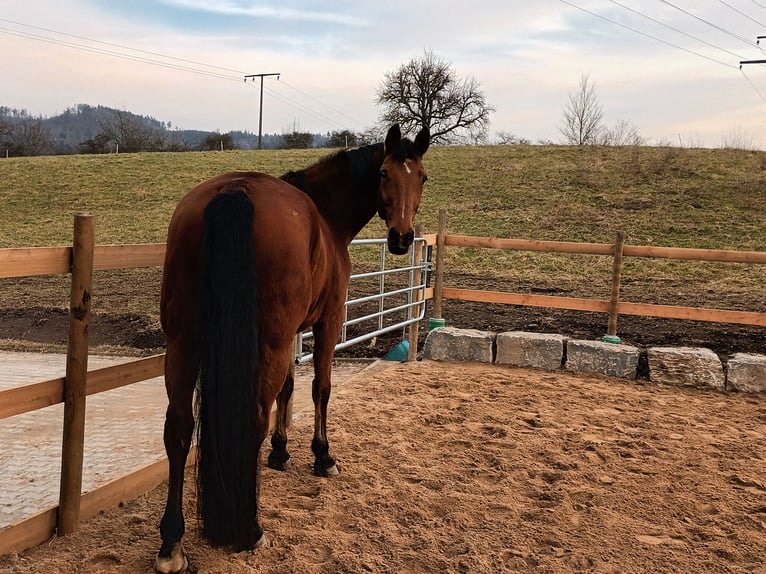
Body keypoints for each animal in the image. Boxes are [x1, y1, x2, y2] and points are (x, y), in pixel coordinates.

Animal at [154, 124, 430, 573]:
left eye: (421, 178)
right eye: (384, 174)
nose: (403, 238)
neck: (326, 216)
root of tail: (234, 191)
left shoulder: (289, 335)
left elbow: (288, 387)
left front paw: (281, 452)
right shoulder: (326, 323)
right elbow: (319, 388)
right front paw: (323, 456)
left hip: (182, 341)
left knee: (178, 427)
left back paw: (171, 544)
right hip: (264, 340)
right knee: (252, 419)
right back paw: (249, 529)